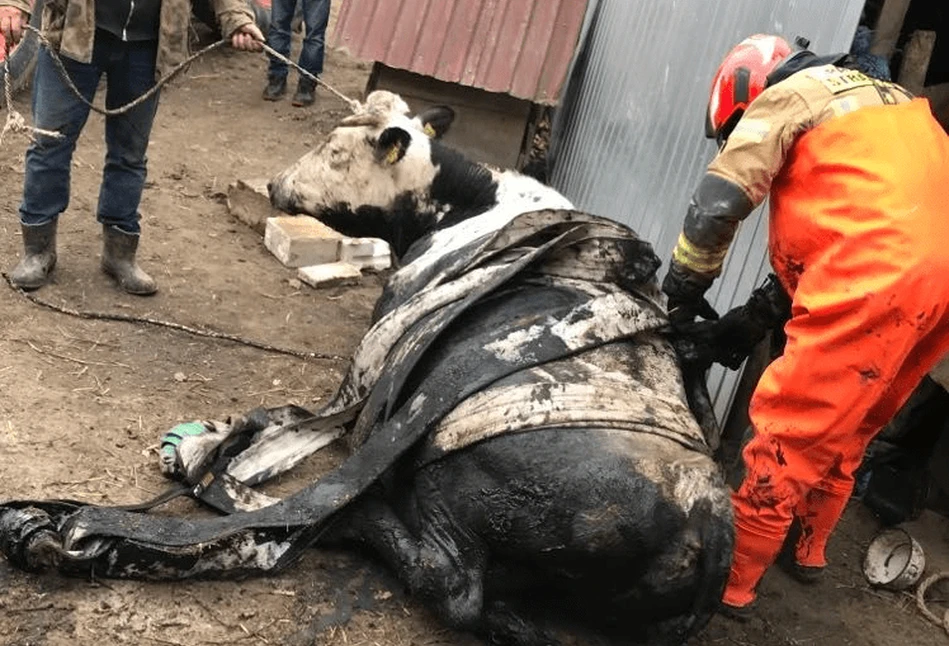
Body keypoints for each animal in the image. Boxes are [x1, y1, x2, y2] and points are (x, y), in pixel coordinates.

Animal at [0, 91, 732, 646]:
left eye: (334, 151)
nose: (274, 184)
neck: (475, 207)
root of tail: (708, 512)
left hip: (459, 496)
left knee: (445, 581)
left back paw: (345, 513)